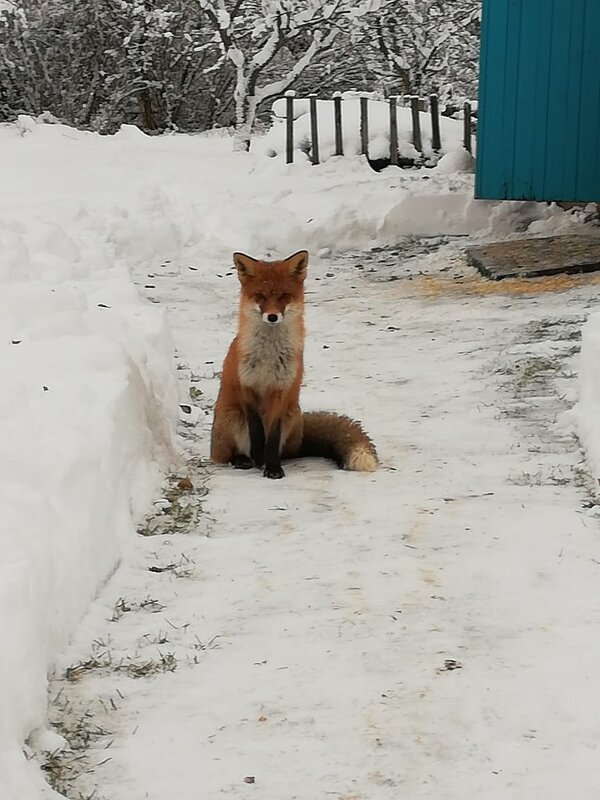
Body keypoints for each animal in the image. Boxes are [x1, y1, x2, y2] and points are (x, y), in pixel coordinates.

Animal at [210, 250, 376, 478]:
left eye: (283, 296)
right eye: (260, 296)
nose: (272, 316)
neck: (268, 357)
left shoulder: (281, 389)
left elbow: (272, 437)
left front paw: (272, 467)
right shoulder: (246, 385)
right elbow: (256, 431)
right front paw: (260, 458)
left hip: (291, 416)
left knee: (287, 453)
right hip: (232, 417)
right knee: (226, 456)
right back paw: (243, 459)